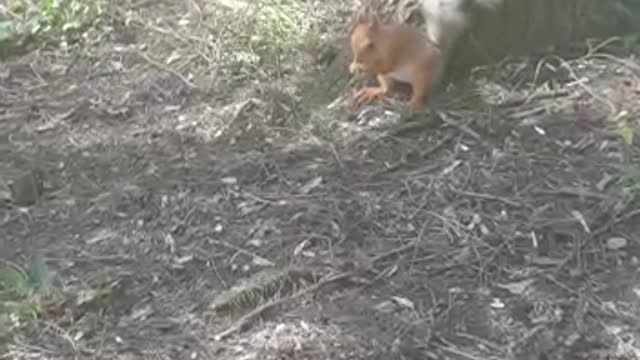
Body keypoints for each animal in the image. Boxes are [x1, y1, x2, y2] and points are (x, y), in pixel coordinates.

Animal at [348, 0, 502, 111]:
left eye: (370, 44)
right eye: (352, 40)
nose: (358, 59)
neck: (384, 41)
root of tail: (441, 61)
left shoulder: (395, 51)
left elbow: (386, 65)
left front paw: (362, 67)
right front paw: (354, 65)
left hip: (422, 74)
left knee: (420, 92)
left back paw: (412, 105)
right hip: (386, 78)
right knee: (387, 89)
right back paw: (372, 91)